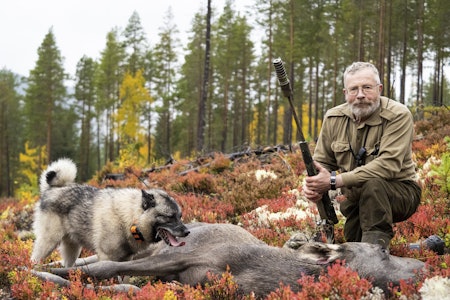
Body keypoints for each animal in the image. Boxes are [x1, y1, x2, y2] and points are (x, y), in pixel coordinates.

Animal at [31, 158, 190, 266]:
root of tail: (51, 190)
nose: (187, 232)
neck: (130, 219)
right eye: (169, 217)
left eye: (180, 216)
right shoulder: (106, 257)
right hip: (48, 243)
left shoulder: (126, 259)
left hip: (72, 249)